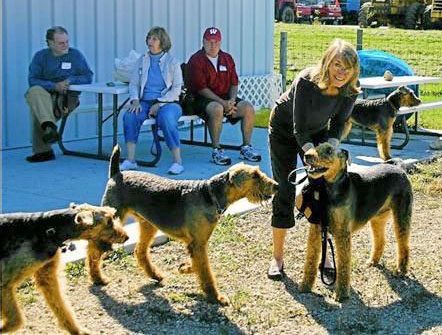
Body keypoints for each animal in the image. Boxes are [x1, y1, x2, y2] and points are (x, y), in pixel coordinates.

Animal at [0, 203, 128, 335]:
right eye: (109, 221)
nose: (126, 237)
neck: (49, 229)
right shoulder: (5, 282)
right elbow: (16, 320)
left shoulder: (47, 274)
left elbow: (61, 306)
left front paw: (77, 330)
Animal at [88, 146, 278, 306]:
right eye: (255, 175)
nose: (276, 185)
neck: (210, 195)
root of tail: (117, 174)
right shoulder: (198, 244)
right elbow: (205, 271)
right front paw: (216, 297)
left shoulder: (197, 244)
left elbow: (199, 265)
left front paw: (185, 268)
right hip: (113, 223)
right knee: (93, 252)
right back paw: (98, 279)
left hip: (148, 224)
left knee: (139, 251)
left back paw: (155, 275)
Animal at [298, 143, 412, 304]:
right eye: (316, 146)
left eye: (329, 150)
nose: (307, 155)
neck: (330, 191)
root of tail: (399, 168)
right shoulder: (316, 229)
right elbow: (310, 260)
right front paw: (305, 287)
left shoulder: (342, 234)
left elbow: (343, 265)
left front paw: (341, 295)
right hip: (377, 217)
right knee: (380, 241)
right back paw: (373, 261)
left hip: (402, 216)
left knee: (404, 245)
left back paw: (401, 270)